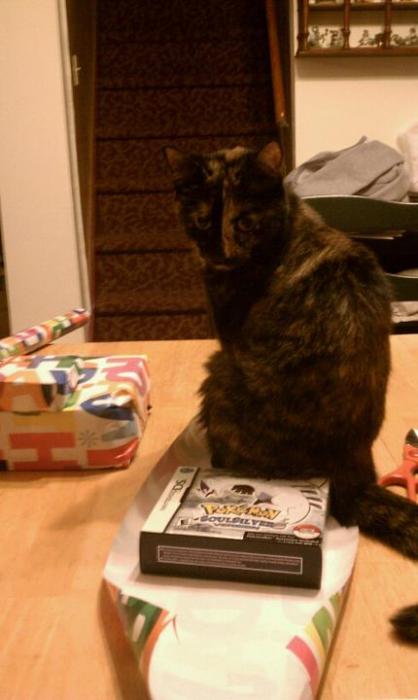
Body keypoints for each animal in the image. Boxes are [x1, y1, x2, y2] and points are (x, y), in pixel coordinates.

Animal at [164, 141, 418, 642]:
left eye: (245, 222)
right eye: (202, 221)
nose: (220, 251)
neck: (289, 225)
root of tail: (355, 473)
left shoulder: (228, 336)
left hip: (218, 374)